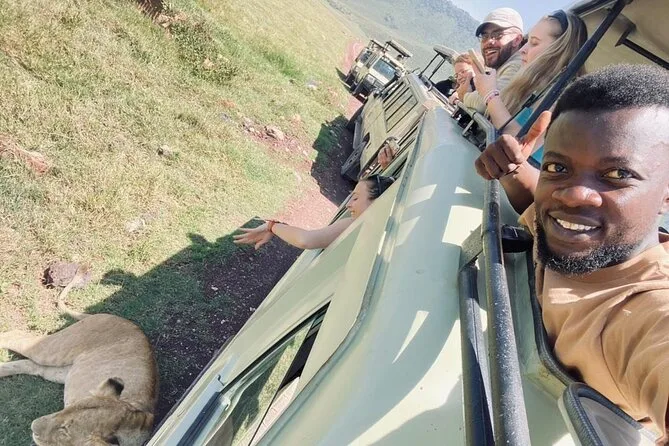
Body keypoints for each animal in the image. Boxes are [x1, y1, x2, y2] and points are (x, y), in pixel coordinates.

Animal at [0, 268, 159, 446]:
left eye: (64, 430)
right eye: (70, 407)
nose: (33, 427)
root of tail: (117, 317)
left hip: (62, 371)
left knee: (32, 365)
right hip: (55, 350)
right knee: (14, 335)